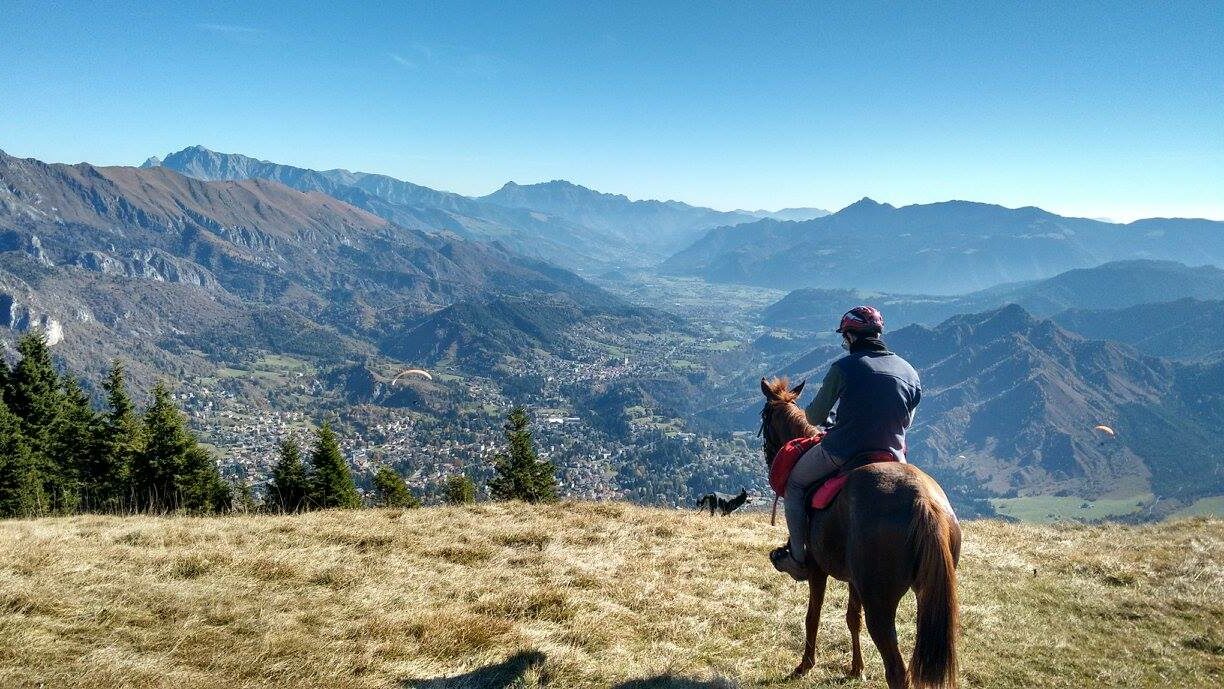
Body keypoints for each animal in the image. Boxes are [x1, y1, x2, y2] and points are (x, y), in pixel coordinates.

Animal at [759, 377, 961, 689]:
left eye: (764, 417)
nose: (768, 456)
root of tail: (923, 502)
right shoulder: (855, 579)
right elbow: (853, 617)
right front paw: (857, 668)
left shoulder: (817, 569)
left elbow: (812, 616)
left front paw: (805, 665)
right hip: (927, 595)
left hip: (880, 601)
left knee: (897, 671)